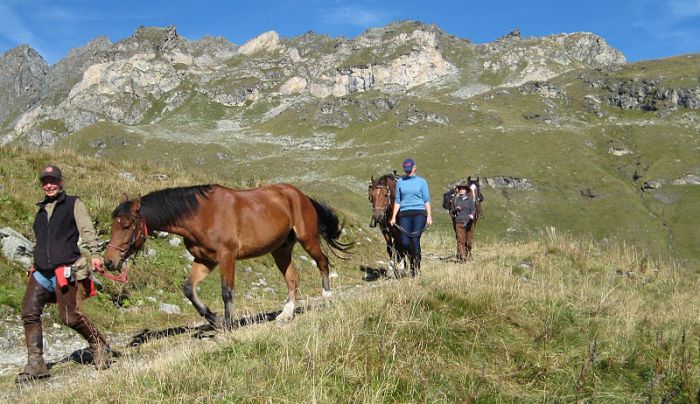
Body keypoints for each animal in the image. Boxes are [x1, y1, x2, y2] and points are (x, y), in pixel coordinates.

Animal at [102, 183, 350, 328]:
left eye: (126, 226)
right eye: (113, 225)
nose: (109, 261)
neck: (200, 214)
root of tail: (300, 195)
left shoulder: (227, 256)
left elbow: (227, 291)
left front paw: (229, 323)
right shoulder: (205, 260)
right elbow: (189, 289)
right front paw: (215, 319)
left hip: (308, 239)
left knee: (323, 262)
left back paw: (327, 298)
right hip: (280, 249)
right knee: (292, 278)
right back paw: (286, 314)